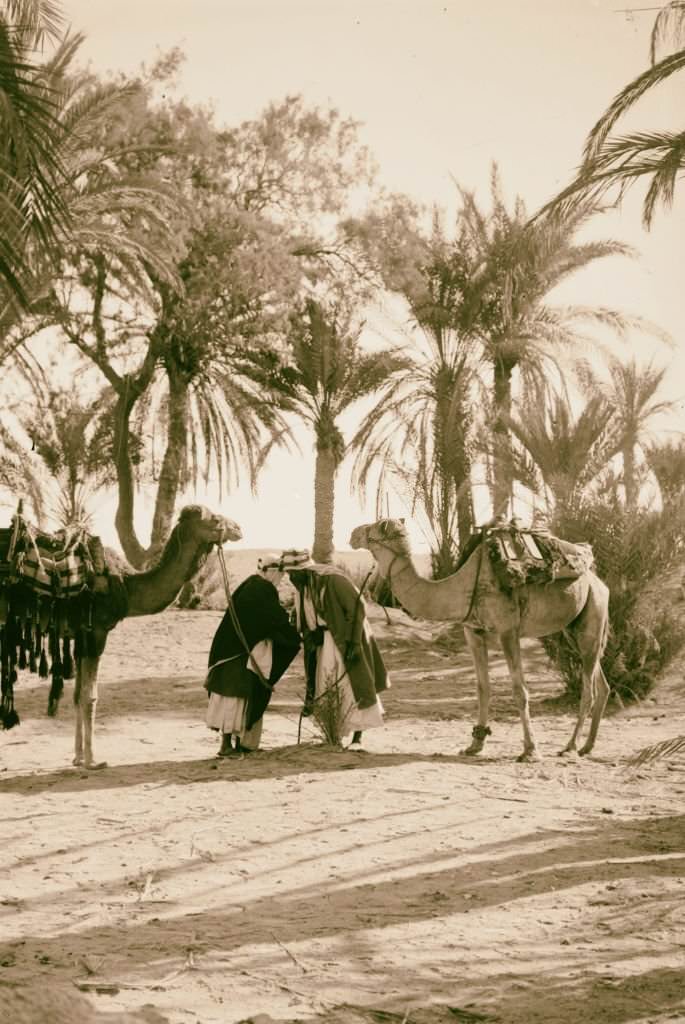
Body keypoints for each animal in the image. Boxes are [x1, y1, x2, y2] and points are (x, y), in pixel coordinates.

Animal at [68, 503, 240, 770]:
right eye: (214, 519)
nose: (238, 528)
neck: (126, 585)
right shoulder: (96, 630)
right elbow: (90, 696)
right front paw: (93, 760)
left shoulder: (80, 635)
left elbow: (77, 695)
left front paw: (77, 757)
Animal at [350, 520, 610, 761]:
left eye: (374, 528)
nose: (353, 533)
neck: (462, 585)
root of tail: (598, 581)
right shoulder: (473, 632)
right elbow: (483, 687)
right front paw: (475, 744)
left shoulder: (507, 630)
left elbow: (520, 690)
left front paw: (530, 751)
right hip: (573, 629)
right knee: (602, 684)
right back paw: (587, 747)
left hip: (592, 616)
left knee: (589, 689)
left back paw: (570, 747)